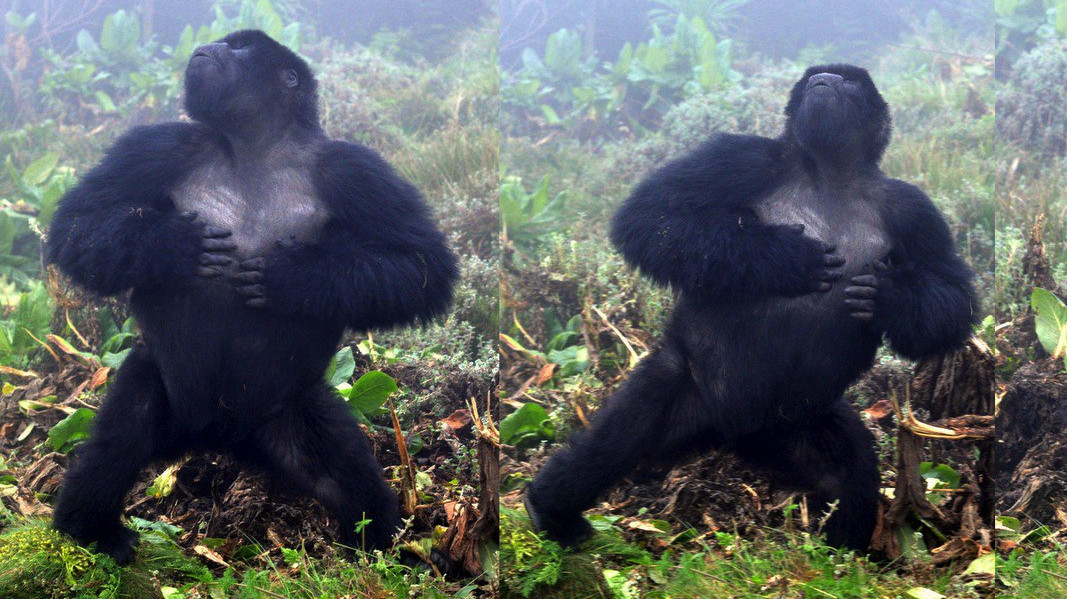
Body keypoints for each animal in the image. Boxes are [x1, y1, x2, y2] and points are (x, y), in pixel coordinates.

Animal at [46, 30, 458, 563]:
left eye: (240, 47)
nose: (211, 46)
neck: (255, 146)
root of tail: (218, 441)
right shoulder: (159, 144)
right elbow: (79, 224)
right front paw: (170, 245)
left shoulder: (354, 168)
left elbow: (422, 265)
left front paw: (297, 279)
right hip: (165, 394)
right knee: (120, 439)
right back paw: (89, 527)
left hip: (290, 409)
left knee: (344, 473)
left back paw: (382, 543)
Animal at [522, 62, 977, 550]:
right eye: (816, 74)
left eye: (850, 80)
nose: (824, 81)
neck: (830, 174)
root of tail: (729, 432)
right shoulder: (743, 156)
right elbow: (653, 216)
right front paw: (784, 258)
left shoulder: (912, 208)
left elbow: (950, 294)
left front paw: (889, 299)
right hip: (686, 388)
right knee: (617, 439)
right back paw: (551, 508)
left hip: (800, 420)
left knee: (850, 477)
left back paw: (845, 547)